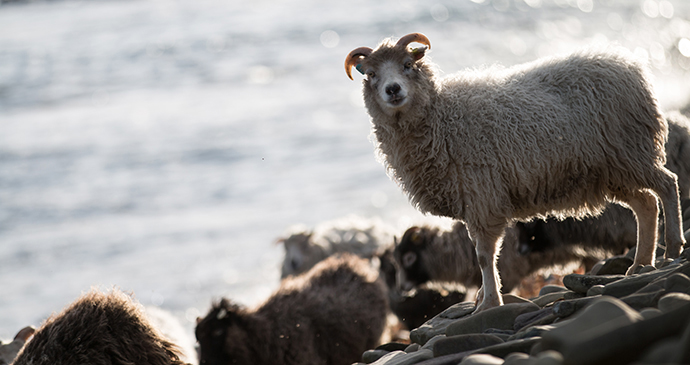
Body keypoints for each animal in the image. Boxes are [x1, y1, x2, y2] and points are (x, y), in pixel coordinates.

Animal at [346, 32, 684, 310]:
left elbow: (484, 256)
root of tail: (626, 63)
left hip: (631, 150)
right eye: (372, 74)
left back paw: (673, 247)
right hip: (613, 169)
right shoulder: (472, 199)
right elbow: (482, 256)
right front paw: (483, 299)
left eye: (407, 65)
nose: (392, 89)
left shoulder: (482, 197)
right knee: (646, 204)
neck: (441, 117)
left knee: (667, 185)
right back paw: (640, 264)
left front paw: (489, 303)